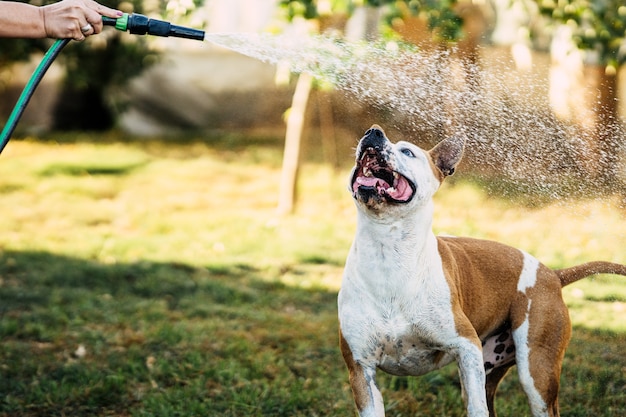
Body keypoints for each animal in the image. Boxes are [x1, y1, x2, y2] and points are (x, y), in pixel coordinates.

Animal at [338, 124, 624, 416]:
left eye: (408, 151)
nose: (373, 132)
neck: (388, 250)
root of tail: (553, 274)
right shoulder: (361, 370)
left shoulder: (466, 345)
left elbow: (477, 408)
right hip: (491, 367)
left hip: (537, 372)